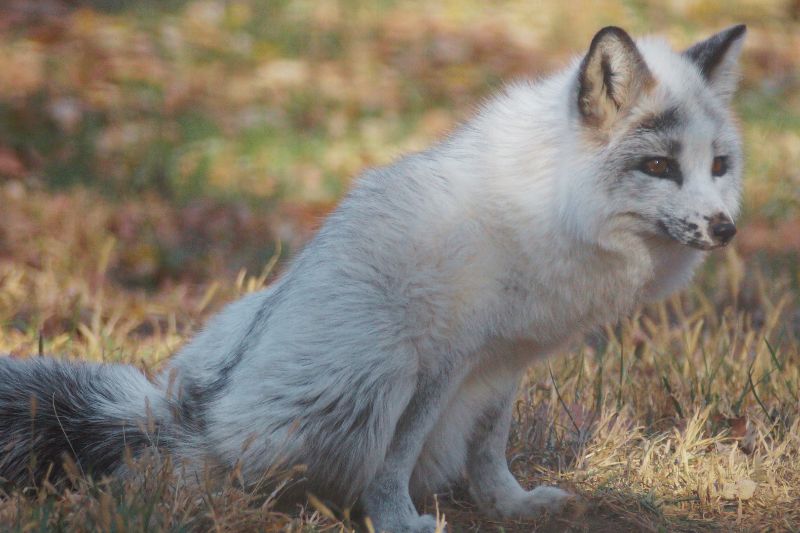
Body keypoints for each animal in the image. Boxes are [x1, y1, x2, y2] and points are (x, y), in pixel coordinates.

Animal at [0, 24, 746, 532]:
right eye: (657, 166)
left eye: (718, 165)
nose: (724, 228)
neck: (546, 205)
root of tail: (186, 419)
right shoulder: (441, 359)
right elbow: (396, 459)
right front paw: (398, 521)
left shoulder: (504, 359)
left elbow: (489, 447)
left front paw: (509, 505)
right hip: (378, 370)